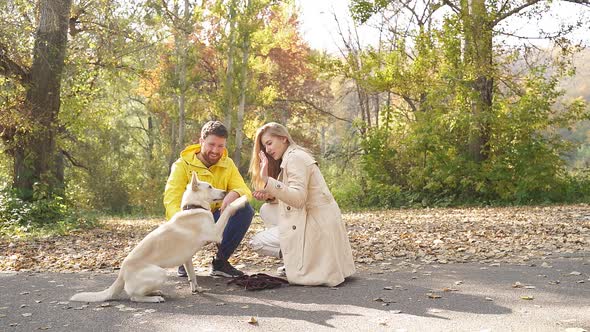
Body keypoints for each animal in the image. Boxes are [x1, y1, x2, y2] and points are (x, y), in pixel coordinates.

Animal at [70, 172, 249, 302]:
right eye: (210, 186)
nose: (226, 192)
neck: (193, 207)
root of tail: (121, 273)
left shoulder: (187, 258)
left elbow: (192, 275)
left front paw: (196, 289)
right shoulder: (216, 233)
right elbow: (229, 209)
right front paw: (240, 200)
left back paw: (155, 292)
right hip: (160, 274)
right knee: (134, 297)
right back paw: (153, 298)